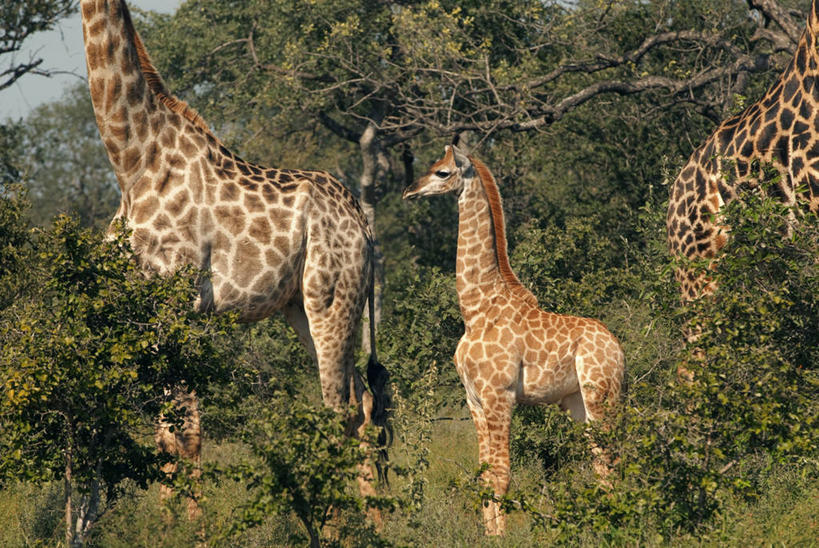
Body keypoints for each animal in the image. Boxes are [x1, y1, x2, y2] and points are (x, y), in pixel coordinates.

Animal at [78, 0, 390, 520]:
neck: (132, 160)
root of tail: (363, 226)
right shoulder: (144, 305)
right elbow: (164, 434)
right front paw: (165, 525)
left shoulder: (180, 298)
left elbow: (187, 431)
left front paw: (192, 527)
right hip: (301, 308)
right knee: (364, 404)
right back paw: (377, 520)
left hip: (331, 298)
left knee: (339, 409)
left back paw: (337, 523)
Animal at [406, 146, 628, 536]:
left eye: (442, 172)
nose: (410, 191)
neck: (476, 310)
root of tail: (618, 348)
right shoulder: (474, 400)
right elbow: (484, 475)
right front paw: (487, 535)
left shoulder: (501, 395)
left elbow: (502, 474)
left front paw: (500, 536)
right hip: (578, 402)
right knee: (602, 461)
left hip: (602, 394)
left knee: (610, 458)